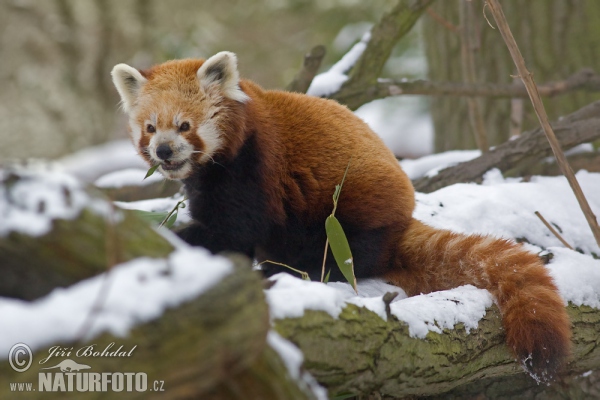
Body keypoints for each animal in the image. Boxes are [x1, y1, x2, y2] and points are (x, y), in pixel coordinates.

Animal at [111, 50, 572, 382]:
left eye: (184, 126)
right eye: (150, 128)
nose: (163, 152)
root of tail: (403, 218)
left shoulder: (252, 166)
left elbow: (232, 228)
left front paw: (182, 239)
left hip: (350, 207)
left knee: (346, 250)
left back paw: (298, 270)